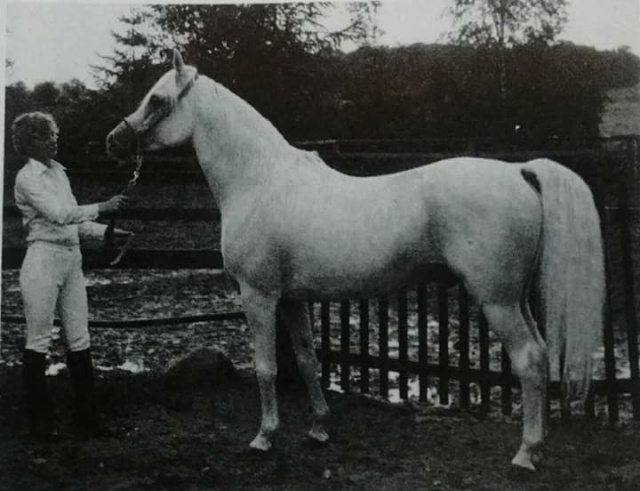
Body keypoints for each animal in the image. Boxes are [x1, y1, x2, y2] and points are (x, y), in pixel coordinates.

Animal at [106, 51, 604, 472]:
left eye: (157, 99)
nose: (114, 141)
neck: (260, 180)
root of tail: (518, 171)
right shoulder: (292, 300)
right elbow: (307, 360)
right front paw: (319, 428)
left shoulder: (258, 296)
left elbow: (266, 369)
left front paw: (264, 437)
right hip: (515, 299)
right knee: (541, 353)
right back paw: (537, 447)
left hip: (496, 299)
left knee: (529, 360)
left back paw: (525, 454)